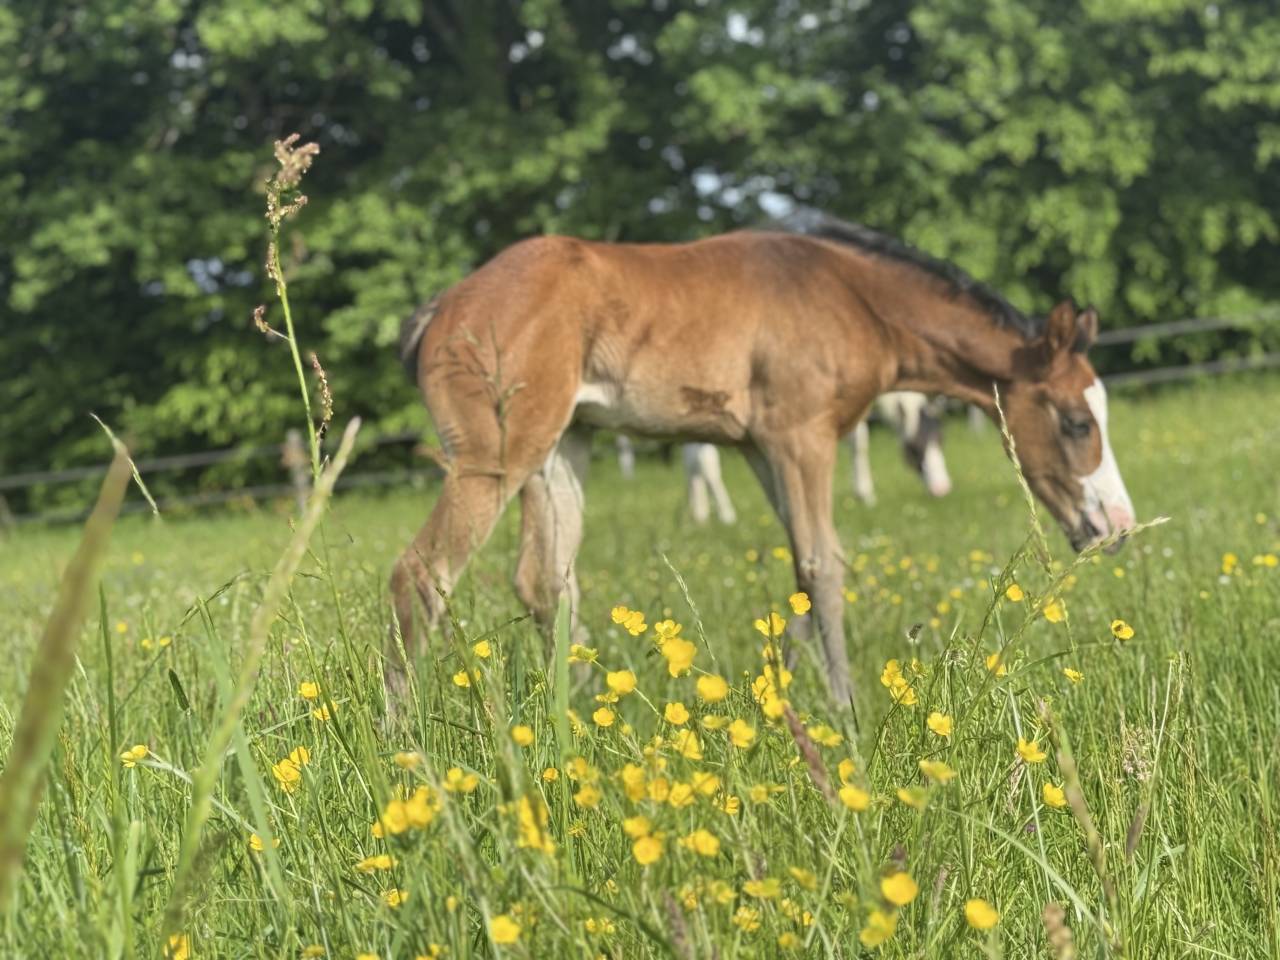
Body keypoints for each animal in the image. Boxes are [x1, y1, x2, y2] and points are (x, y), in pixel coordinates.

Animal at [392, 215, 1136, 706]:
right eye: (1076, 422)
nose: (1118, 528)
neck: (851, 295)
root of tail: (440, 307)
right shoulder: (803, 438)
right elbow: (825, 566)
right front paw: (846, 715)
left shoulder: (759, 448)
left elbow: (802, 572)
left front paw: (781, 697)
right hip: (495, 457)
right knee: (419, 576)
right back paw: (403, 738)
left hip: (559, 449)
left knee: (545, 581)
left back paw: (575, 717)